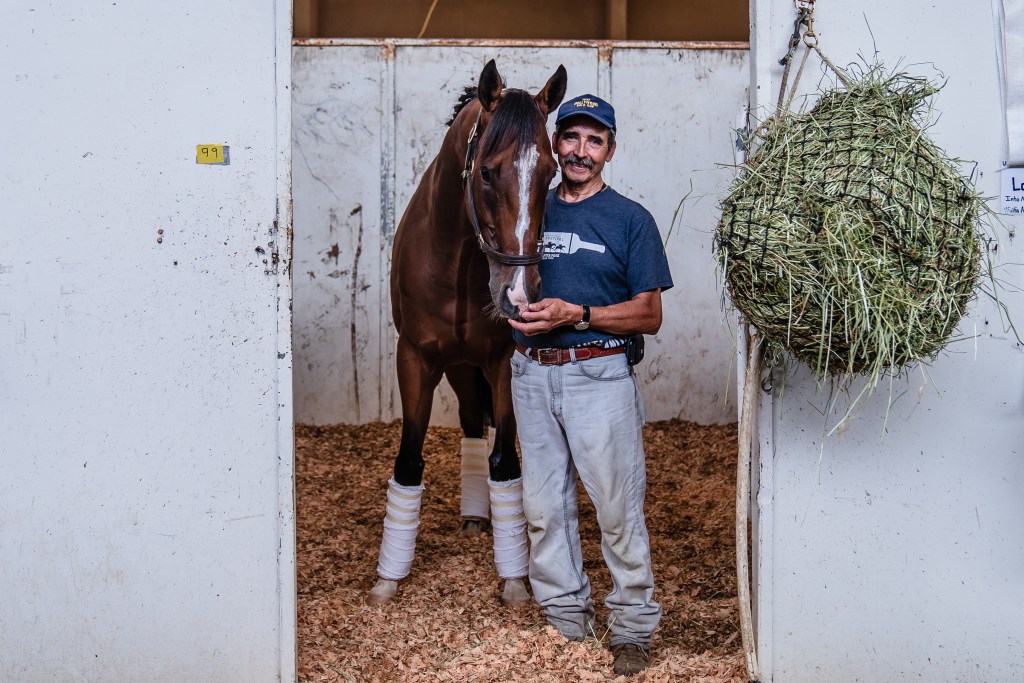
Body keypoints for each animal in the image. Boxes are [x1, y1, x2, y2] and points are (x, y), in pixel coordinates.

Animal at [366, 60, 567, 606]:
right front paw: (388, 580)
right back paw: (477, 518)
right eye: (487, 172)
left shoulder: (501, 363)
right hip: (456, 367)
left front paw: (514, 578)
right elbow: (408, 462)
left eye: (550, 171)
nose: (519, 295)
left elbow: (505, 462)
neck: (455, 260)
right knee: (474, 425)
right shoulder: (414, 359)